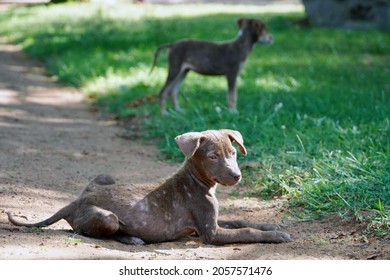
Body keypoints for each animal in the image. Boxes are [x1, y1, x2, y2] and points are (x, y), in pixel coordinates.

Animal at [7, 129, 290, 245]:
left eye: (233, 153)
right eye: (212, 157)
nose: (236, 176)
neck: (197, 181)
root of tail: (74, 203)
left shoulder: (212, 221)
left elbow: (241, 220)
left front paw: (272, 226)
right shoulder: (210, 233)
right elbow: (248, 231)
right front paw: (275, 236)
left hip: (105, 176)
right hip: (108, 218)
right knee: (93, 231)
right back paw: (132, 238)